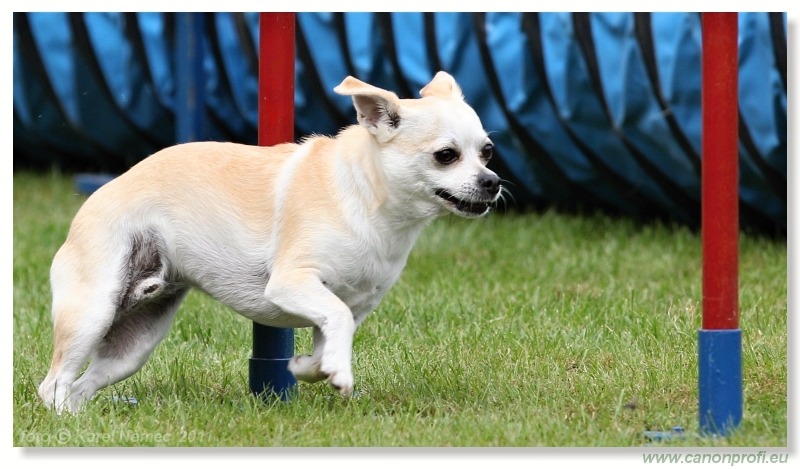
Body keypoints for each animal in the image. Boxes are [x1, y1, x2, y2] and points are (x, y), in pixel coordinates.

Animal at [39, 71, 500, 412]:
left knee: (81, 385)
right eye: (446, 155)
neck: (369, 199)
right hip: (93, 311)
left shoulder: (351, 306)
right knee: (55, 383)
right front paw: (339, 373)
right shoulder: (291, 284)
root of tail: (93, 201)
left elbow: (331, 336)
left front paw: (309, 367)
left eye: (488, 152)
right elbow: (337, 318)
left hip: (134, 342)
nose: (492, 182)